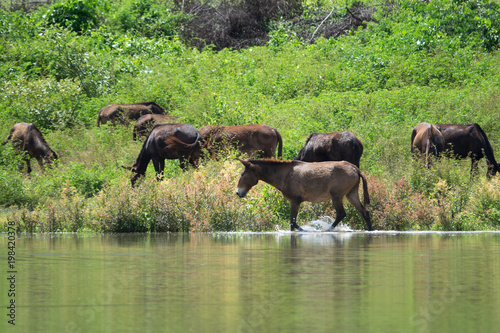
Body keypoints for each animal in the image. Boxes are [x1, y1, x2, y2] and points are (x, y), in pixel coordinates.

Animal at [236, 158, 374, 231]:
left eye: (242, 174)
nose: (238, 192)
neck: (283, 176)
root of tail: (356, 169)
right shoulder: (294, 202)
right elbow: (292, 223)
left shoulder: (295, 201)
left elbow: (293, 223)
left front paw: (307, 230)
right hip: (351, 194)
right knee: (365, 212)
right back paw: (370, 229)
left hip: (336, 196)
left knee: (341, 213)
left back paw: (327, 230)